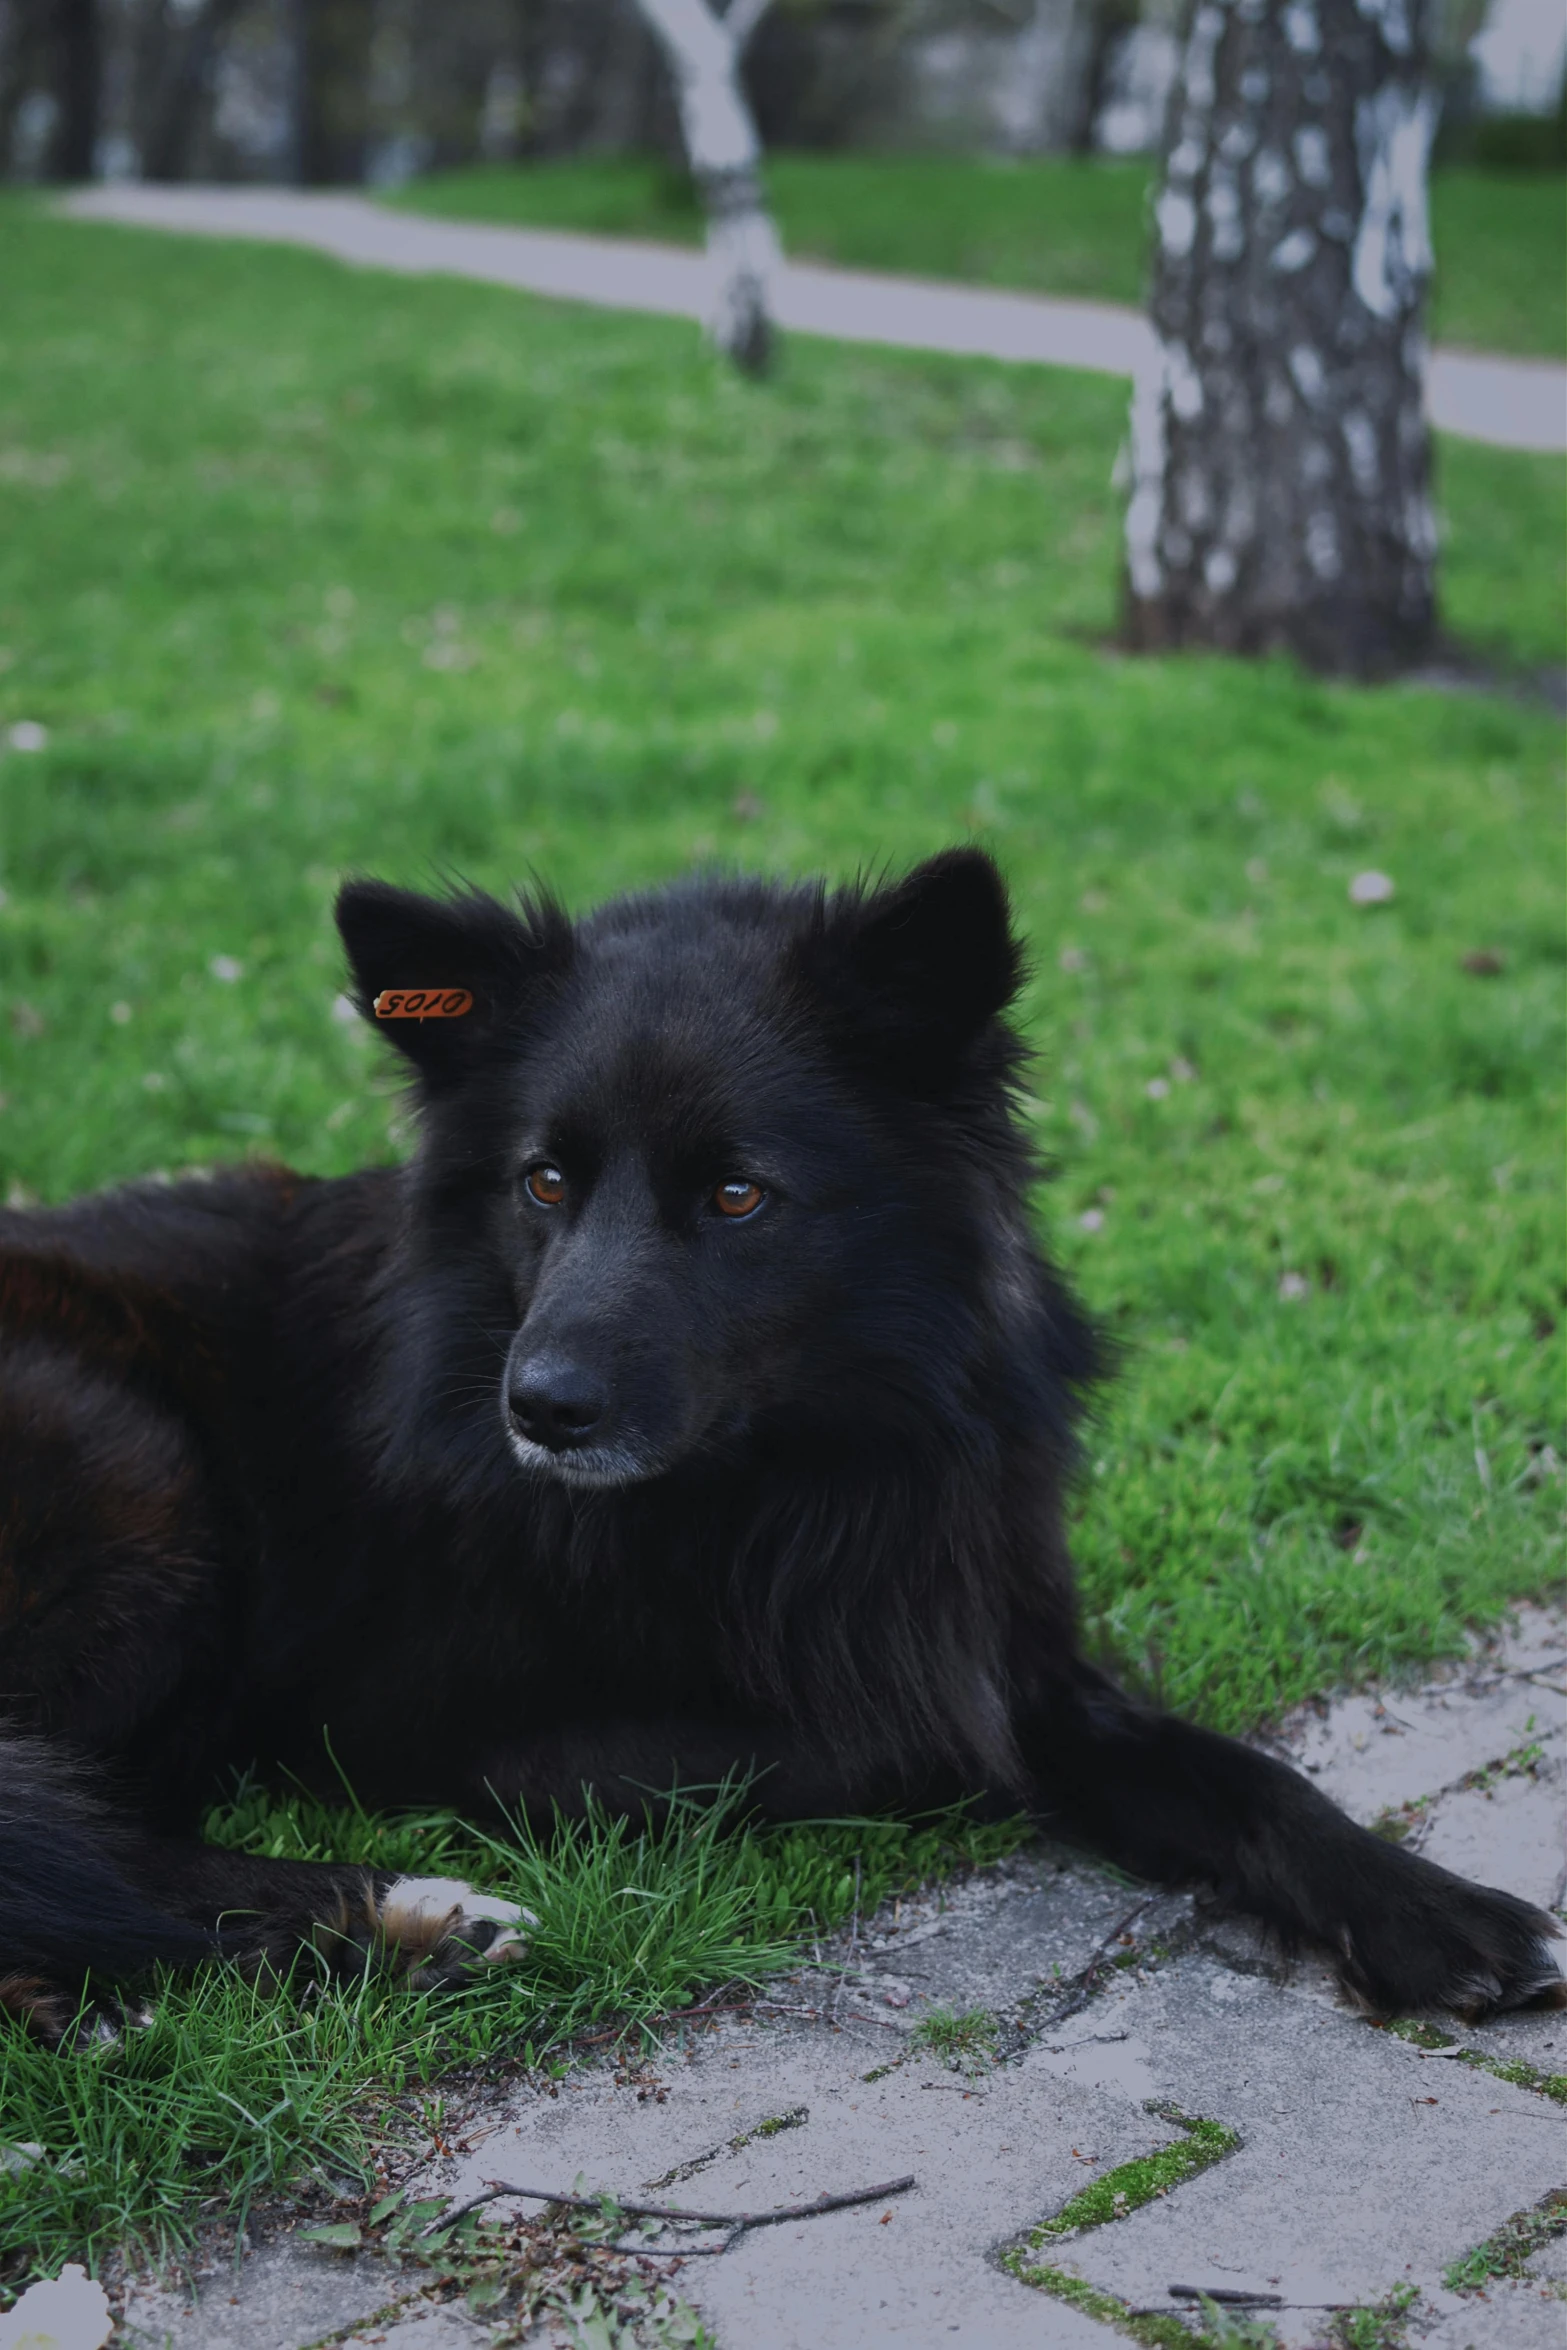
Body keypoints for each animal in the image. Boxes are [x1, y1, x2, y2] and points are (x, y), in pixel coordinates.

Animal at [3, 860, 1567, 2039]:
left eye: (738, 1194)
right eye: (544, 1181)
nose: (538, 1408)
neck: (806, 1465)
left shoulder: (992, 1620)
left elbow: (1226, 1766)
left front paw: (1422, 1908)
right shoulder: (441, 1730)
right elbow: (906, 1740)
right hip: (143, 1476)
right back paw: (408, 1920)